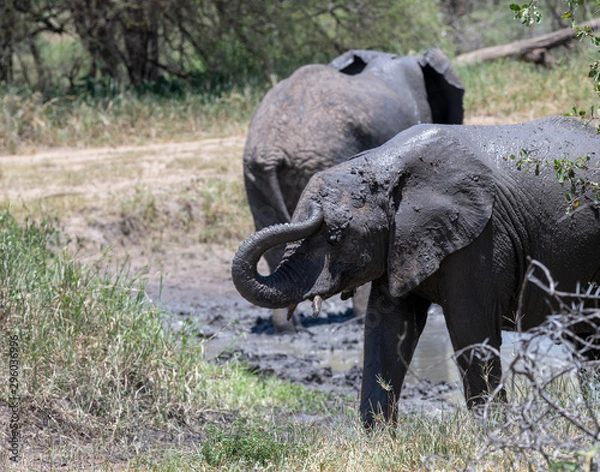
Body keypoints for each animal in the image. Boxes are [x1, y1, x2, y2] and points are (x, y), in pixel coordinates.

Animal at [233, 115, 600, 428]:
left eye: (336, 238)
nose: (315, 209)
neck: (385, 165)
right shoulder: (398, 244)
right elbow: (386, 326)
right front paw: (378, 441)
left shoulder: (482, 238)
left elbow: (471, 328)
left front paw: (495, 433)